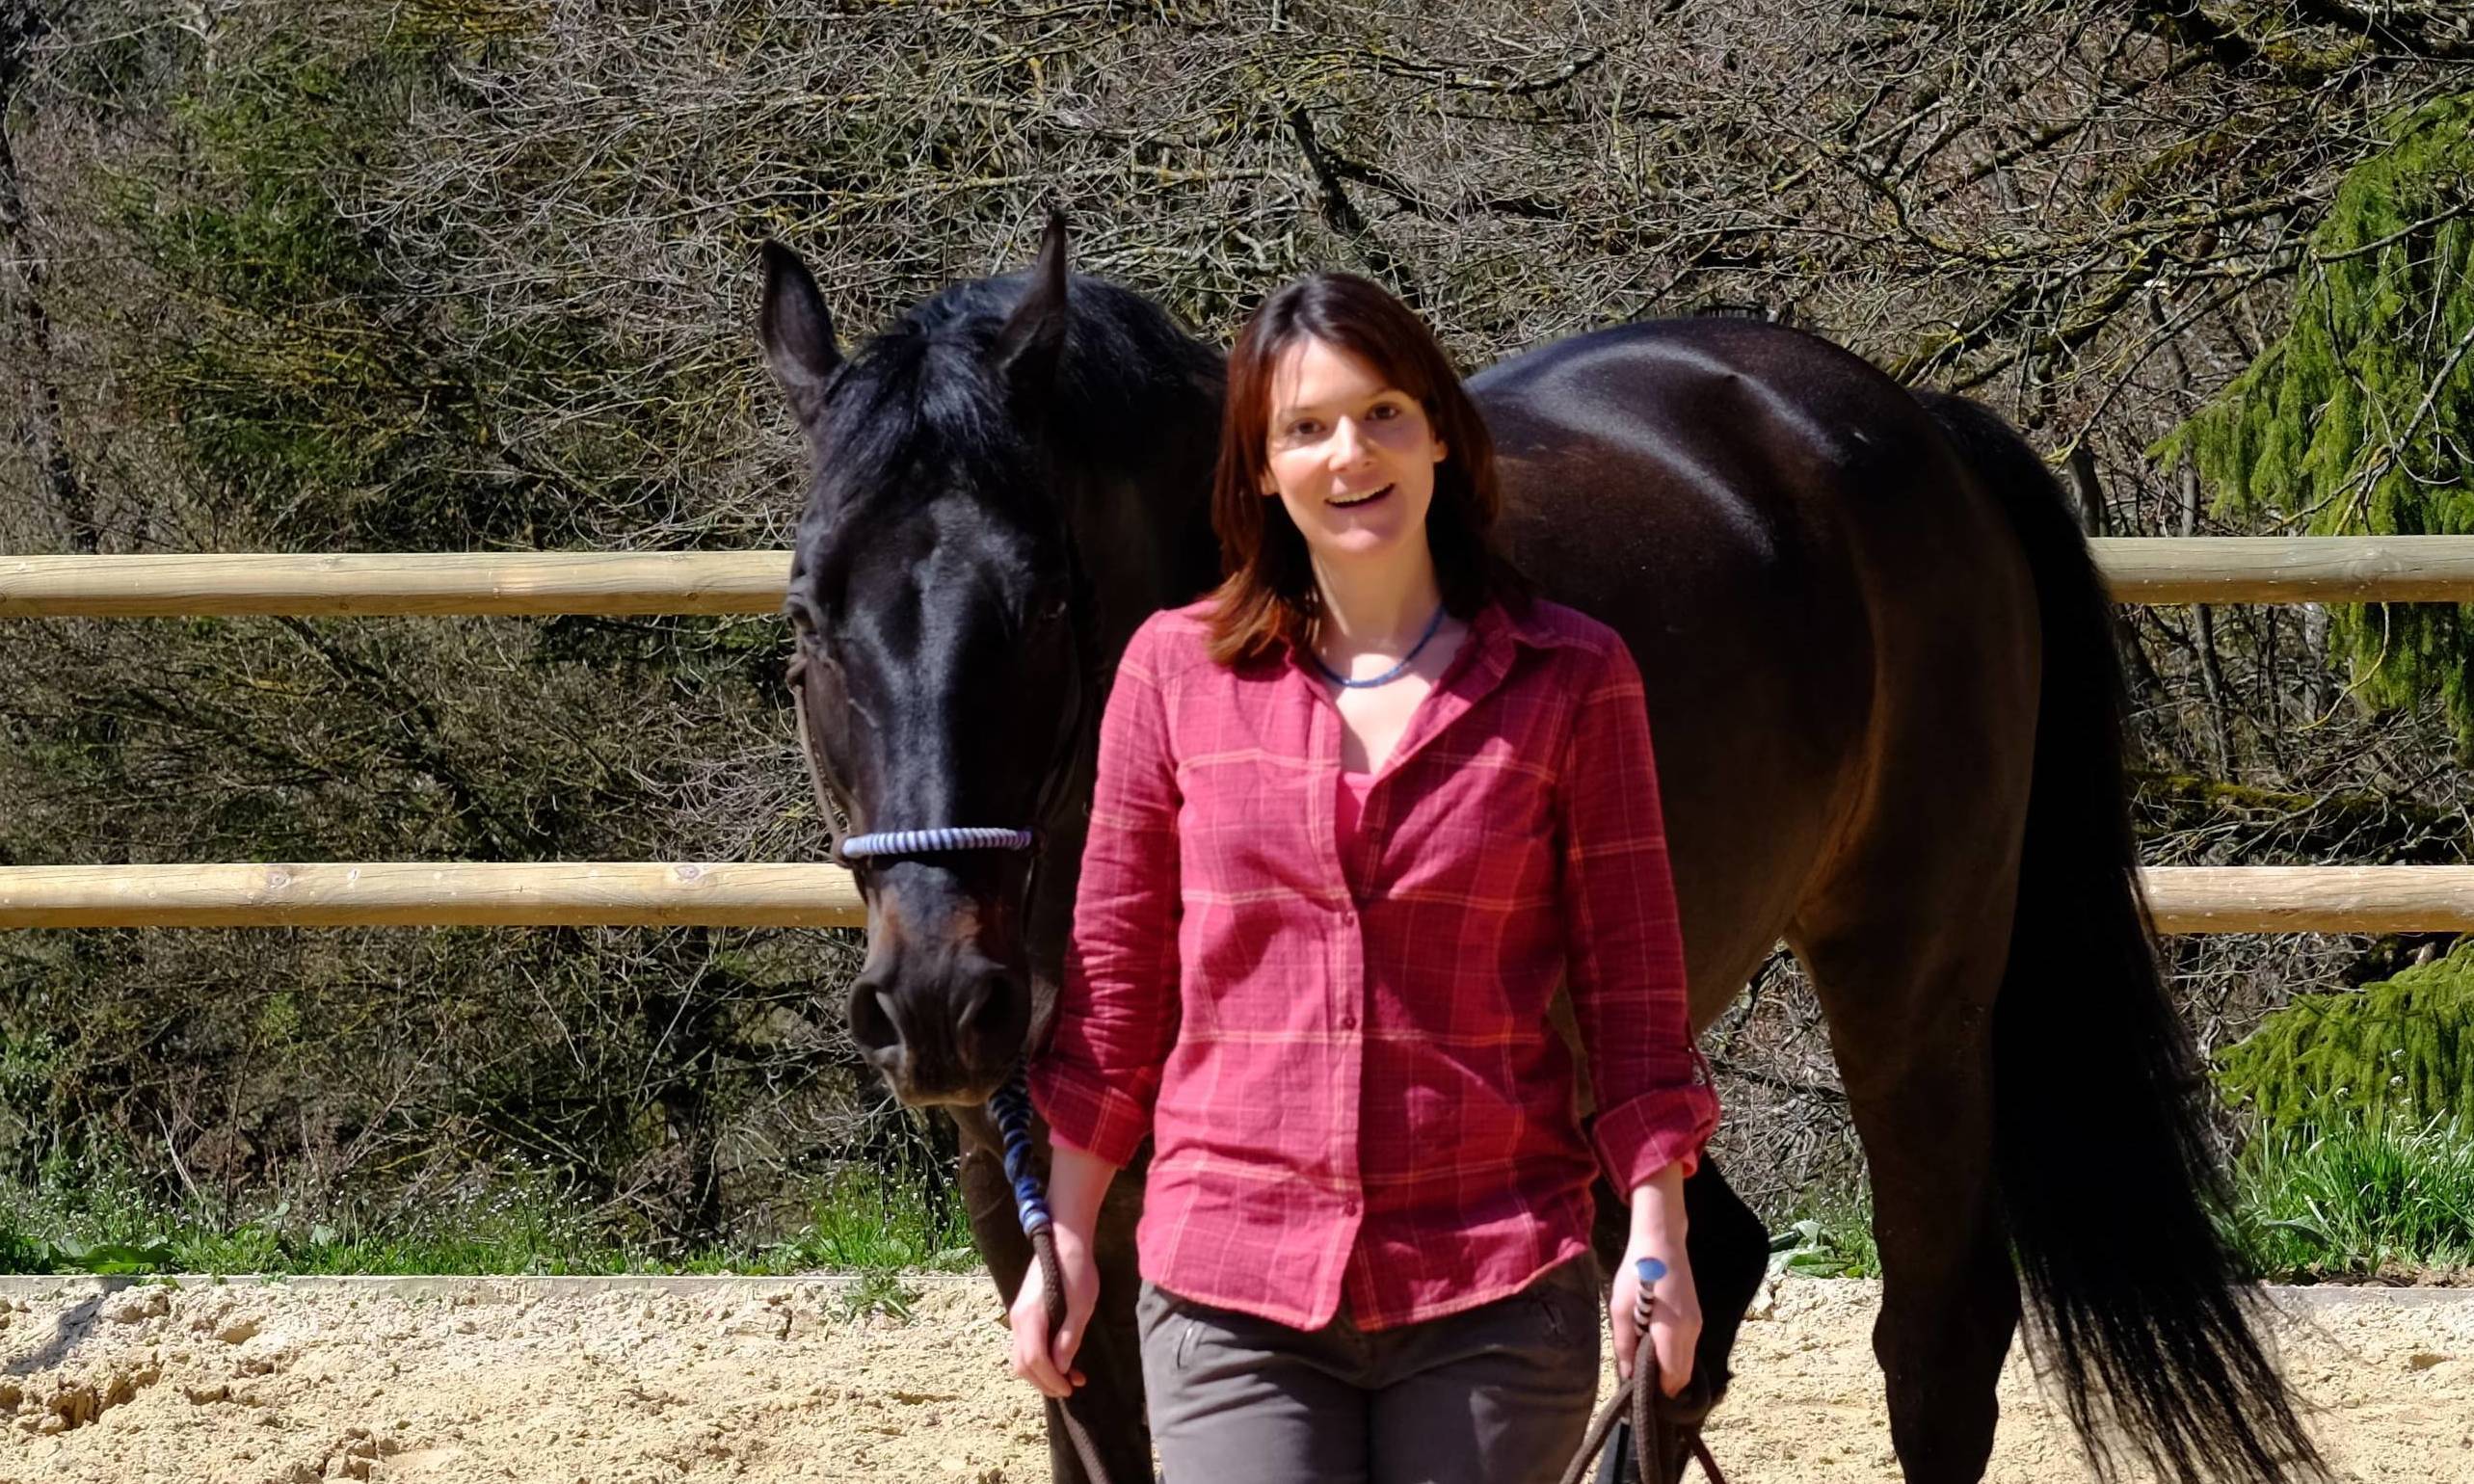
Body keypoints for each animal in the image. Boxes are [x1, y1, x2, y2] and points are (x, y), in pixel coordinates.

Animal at [752, 220, 2315, 1484]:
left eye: (1046, 603)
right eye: (806, 612)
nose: (938, 1000)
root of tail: (1907, 423)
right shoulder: (1029, 1198)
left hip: (1908, 989)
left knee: (1934, 1335)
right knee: (1703, 1284)